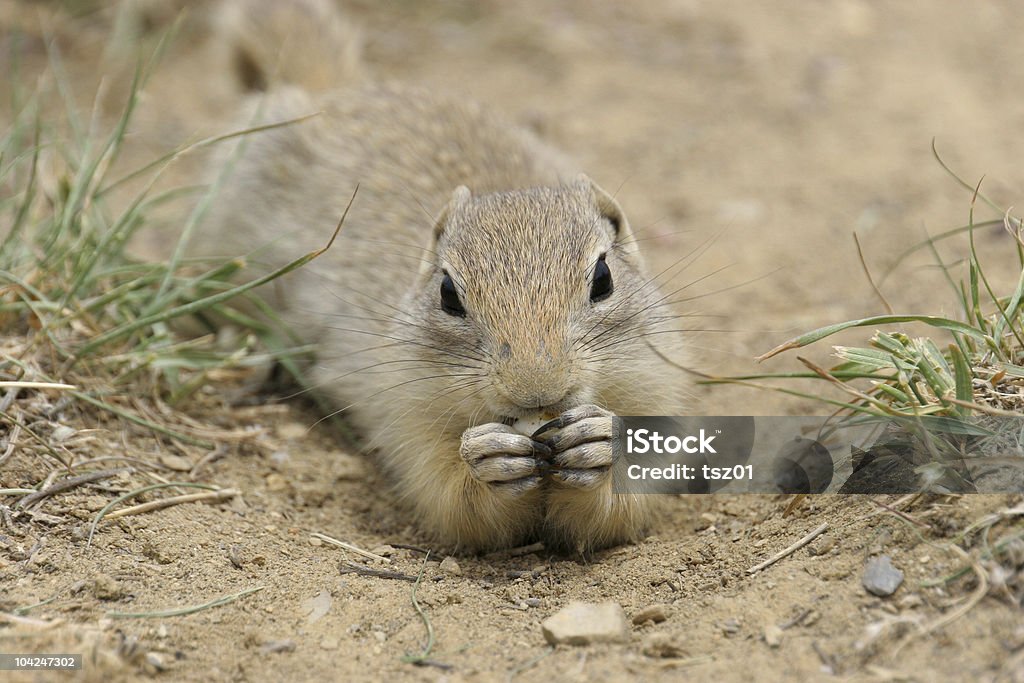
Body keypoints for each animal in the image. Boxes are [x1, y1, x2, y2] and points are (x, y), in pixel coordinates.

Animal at [192, 0, 688, 552]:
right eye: (449, 294)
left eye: (603, 278)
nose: (537, 392)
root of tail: (334, 90)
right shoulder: (406, 413)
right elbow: (453, 502)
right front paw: (487, 459)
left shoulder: (657, 388)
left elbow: (625, 504)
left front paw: (601, 443)